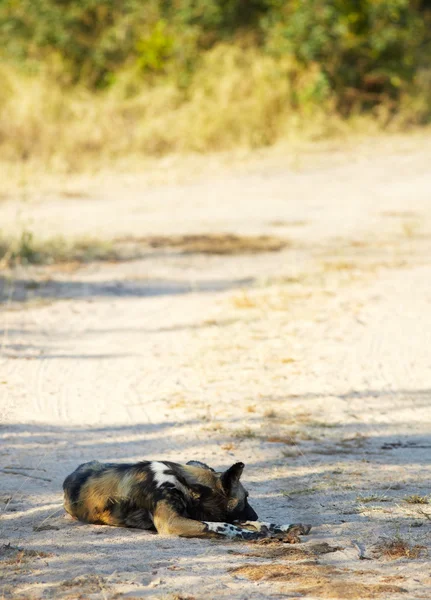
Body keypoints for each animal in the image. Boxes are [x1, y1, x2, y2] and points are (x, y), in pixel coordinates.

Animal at [62, 460, 312, 540]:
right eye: (246, 498)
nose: (255, 513)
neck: (182, 483)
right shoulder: (172, 523)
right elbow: (222, 525)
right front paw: (258, 534)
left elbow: (251, 523)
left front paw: (287, 527)